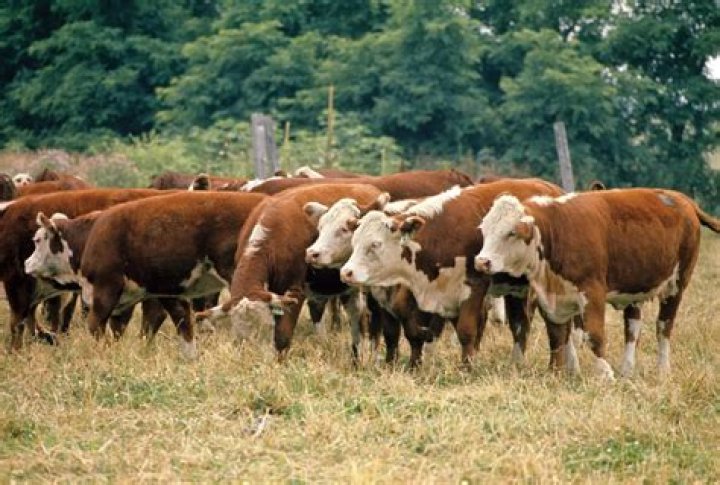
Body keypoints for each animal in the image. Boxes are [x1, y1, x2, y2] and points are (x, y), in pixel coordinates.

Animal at [339, 178, 565, 365]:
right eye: (354, 241)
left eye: (375, 244)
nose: (346, 272)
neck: (441, 235)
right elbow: (414, 331)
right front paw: (414, 365)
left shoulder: (474, 287)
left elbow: (466, 331)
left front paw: (467, 368)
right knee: (520, 323)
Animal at [474, 188, 720, 379]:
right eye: (485, 230)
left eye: (510, 232)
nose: (481, 261)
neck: (556, 230)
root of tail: (681, 198)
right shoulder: (551, 297)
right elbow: (557, 336)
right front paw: (557, 373)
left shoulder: (592, 292)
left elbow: (594, 335)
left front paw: (604, 374)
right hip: (634, 290)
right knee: (632, 329)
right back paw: (626, 370)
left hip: (676, 285)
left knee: (663, 327)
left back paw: (662, 370)